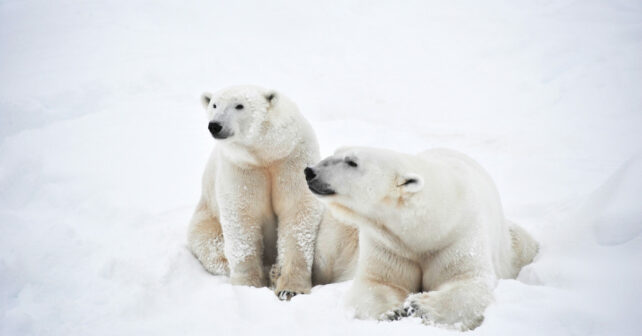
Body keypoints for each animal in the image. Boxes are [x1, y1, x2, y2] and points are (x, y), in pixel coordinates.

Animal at [302, 146, 536, 328]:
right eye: (335, 152)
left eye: (352, 162)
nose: (309, 171)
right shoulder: (388, 244)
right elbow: (377, 283)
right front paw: (392, 311)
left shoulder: (458, 236)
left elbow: (470, 282)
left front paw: (418, 306)